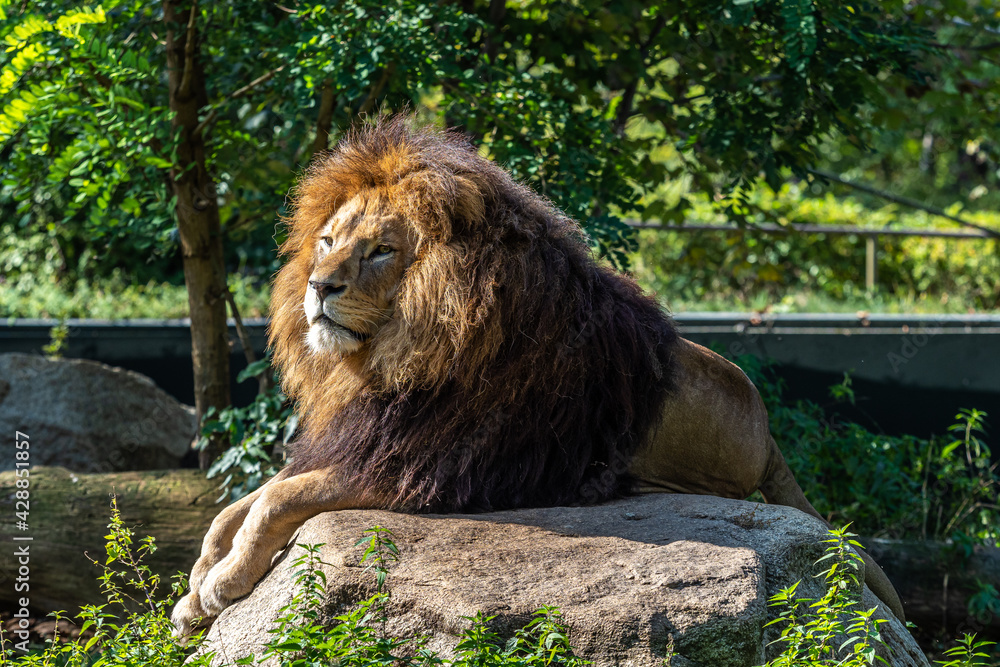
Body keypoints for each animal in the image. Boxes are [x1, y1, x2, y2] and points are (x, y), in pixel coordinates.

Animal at [171, 117, 905, 636]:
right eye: (327, 242)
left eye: (380, 250)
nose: (319, 286)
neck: (387, 358)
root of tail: (767, 427)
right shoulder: (362, 436)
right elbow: (236, 505)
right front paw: (196, 585)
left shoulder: (422, 466)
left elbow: (276, 499)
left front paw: (219, 584)